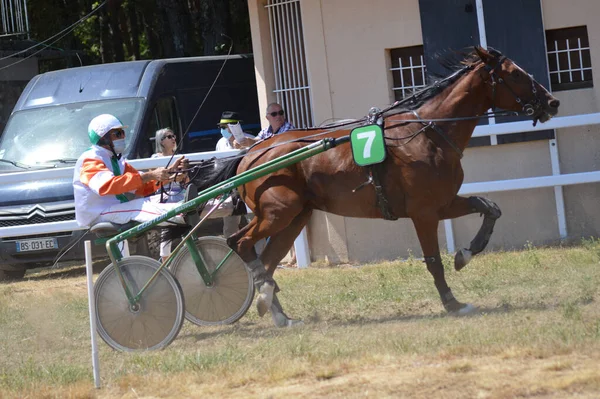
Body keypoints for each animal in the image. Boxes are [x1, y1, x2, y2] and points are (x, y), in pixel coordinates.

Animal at [197, 47, 556, 328]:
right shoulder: (424, 212)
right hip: (277, 214)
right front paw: (453, 302)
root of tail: (251, 154)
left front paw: (466, 253)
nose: (552, 102)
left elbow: (489, 207)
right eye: (516, 74)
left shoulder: (442, 202)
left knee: (267, 261)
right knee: (240, 243)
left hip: (294, 217)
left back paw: (278, 312)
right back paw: (263, 295)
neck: (428, 133)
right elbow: (433, 260)